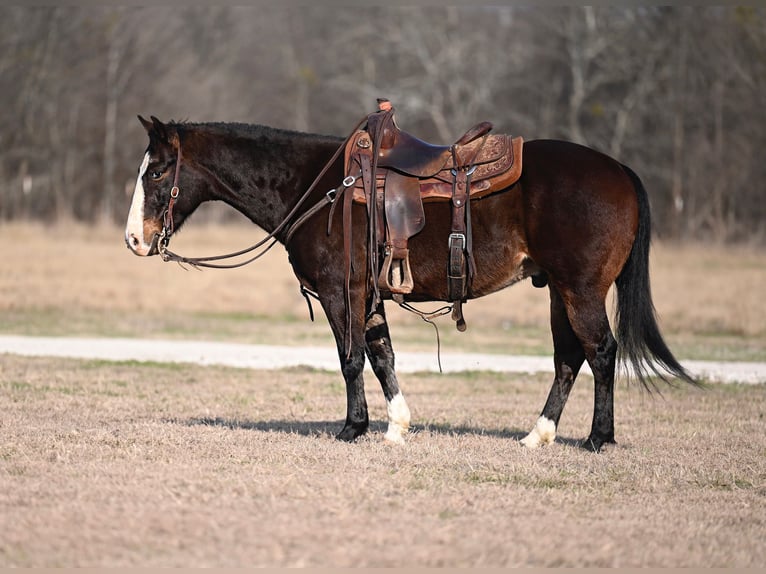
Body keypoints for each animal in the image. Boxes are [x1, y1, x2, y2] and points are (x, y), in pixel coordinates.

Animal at [123, 113, 700, 454]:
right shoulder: (370, 294)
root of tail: (620, 170)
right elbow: (382, 356)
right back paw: (538, 434)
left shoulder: (340, 292)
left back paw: (599, 438)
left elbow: (351, 358)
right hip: (560, 291)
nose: (134, 239)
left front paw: (353, 428)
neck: (322, 186)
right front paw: (396, 425)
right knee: (569, 358)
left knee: (601, 352)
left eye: (157, 172)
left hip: (580, 289)